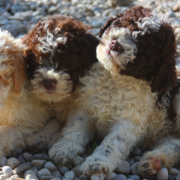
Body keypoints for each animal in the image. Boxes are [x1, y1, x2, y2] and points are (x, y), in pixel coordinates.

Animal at [48, 5, 180, 179]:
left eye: (146, 47)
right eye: (123, 23)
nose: (116, 44)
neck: (113, 78)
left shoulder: (129, 120)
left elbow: (112, 143)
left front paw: (97, 163)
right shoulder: (84, 108)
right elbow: (74, 128)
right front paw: (64, 149)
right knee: (173, 142)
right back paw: (154, 162)